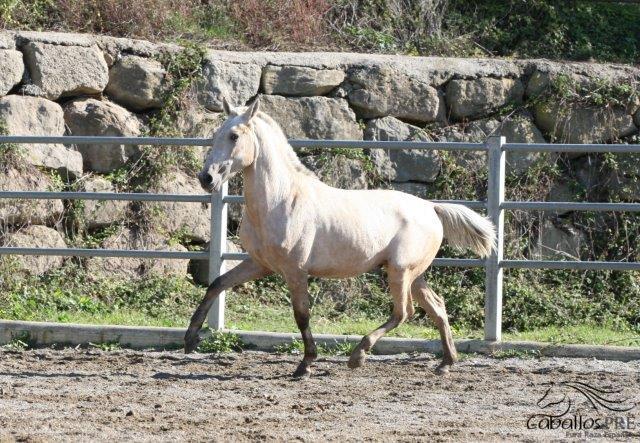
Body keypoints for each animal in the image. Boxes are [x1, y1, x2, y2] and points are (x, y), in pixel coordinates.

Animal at [185, 98, 496, 378]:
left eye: (234, 136)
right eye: (216, 134)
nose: (206, 178)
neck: (282, 200)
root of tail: (431, 208)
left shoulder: (295, 270)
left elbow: (301, 315)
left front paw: (306, 365)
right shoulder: (259, 264)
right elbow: (216, 284)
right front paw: (190, 339)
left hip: (400, 272)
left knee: (403, 312)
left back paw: (358, 356)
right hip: (414, 275)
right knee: (437, 307)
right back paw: (445, 363)